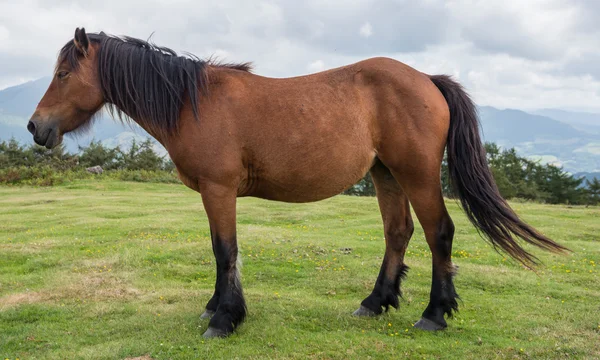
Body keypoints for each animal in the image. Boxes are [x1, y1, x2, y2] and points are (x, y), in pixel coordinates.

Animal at [28, 28, 568, 338]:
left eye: (63, 72)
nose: (36, 128)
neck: (192, 102)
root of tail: (427, 79)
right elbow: (224, 251)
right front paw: (215, 308)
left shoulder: (219, 190)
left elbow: (225, 250)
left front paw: (225, 319)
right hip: (386, 175)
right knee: (398, 234)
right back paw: (374, 303)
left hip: (415, 175)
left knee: (440, 234)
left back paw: (435, 314)